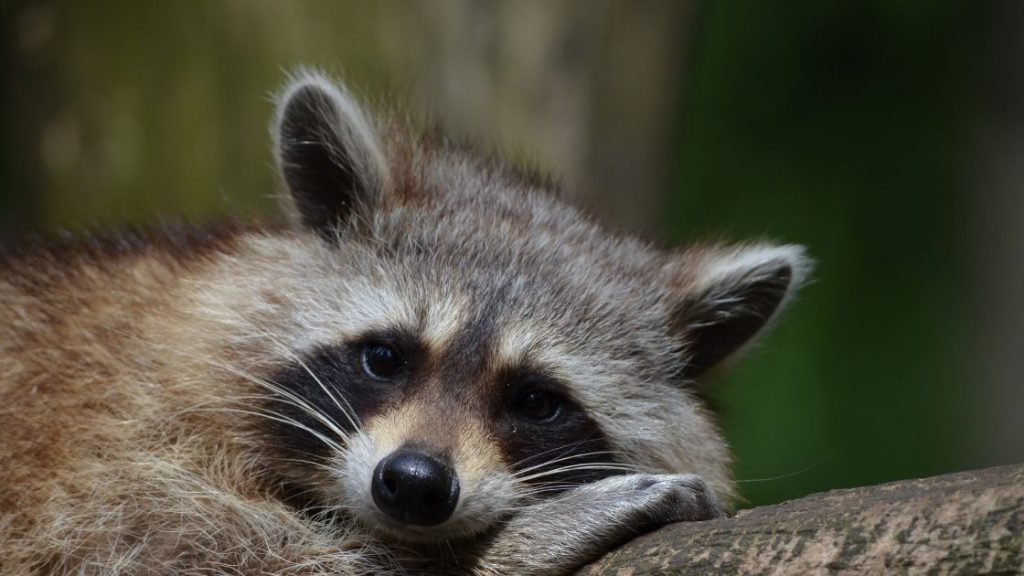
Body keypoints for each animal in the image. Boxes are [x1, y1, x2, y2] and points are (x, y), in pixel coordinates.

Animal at [0, 72, 809, 575]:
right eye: (384, 357)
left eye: (536, 401)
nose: (414, 484)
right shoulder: (107, 445)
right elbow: (183, 549)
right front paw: (497, 551)